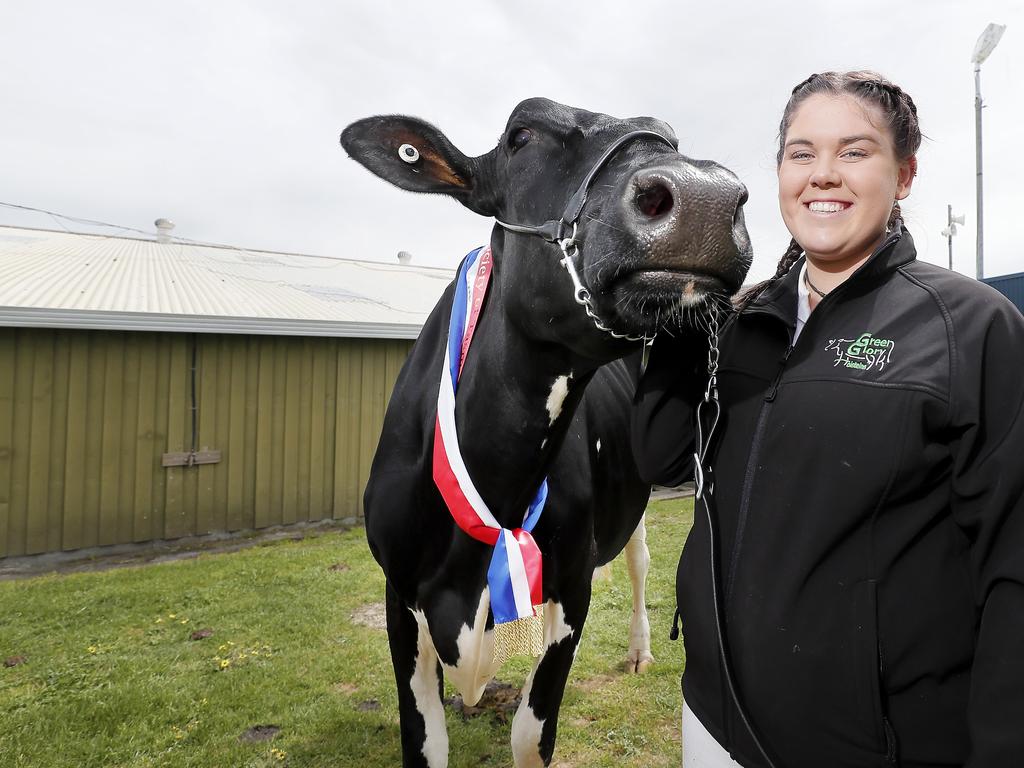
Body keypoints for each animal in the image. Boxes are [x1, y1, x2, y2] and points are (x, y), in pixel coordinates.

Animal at [339, 97, 749, 768]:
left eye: (670, 139)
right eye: (521, 135)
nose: (705, 196)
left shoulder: (569, 594)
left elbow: (531, 739)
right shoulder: (400, 598)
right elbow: (425, 744)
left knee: (638, 560)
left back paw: (640, 650)